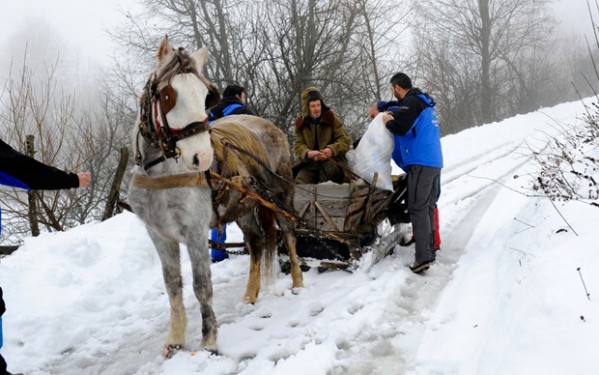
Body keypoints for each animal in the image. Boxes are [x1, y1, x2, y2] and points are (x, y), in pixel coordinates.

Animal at [128, 37, 302, 358]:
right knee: (256, 243)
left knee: (289, 233)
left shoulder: (195, 231)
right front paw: (175, 339)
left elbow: (201, 285)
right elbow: (173, 285)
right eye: (169, 95)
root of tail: (268, 125)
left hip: (281, 195)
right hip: (244, 207)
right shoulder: (159, 234)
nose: (203, 157)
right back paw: (249, 296)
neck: (162, 174)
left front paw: (208, 339)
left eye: (204, 95)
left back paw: (298, 281)